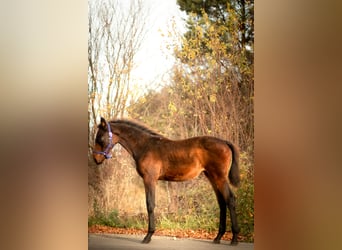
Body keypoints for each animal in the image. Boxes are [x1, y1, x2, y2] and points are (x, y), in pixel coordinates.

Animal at [91, 118, 240, 245]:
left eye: (100, 138)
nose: (96, 159)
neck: (145, 146)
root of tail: (225, 142)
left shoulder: (149, 179)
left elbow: (150, 204)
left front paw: (148, 236)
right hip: (212, 177)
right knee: (222, 203)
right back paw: (218, 237)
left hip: (220, 177)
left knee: (230, 199)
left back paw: (234, 238)